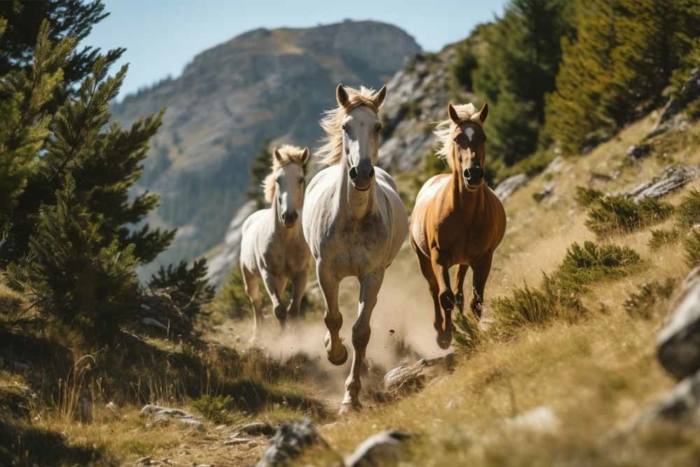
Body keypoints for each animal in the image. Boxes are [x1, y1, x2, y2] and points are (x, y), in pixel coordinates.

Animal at [241, 144, 312, 338]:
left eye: (301, 179)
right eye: (278, 179)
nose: (289, 216)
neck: (286, 241)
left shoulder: (301, 273)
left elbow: (293, 310)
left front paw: (293, 338)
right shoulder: (268, 274)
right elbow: (279, 309)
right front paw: (283, 339)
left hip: (282, 280)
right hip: (250, 277)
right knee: (256, 302)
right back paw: (256, 336)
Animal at [302, 84, 410, 414]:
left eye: (378, 127)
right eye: (346, 127)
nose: (361, 174)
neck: (353, 219)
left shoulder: (372, 275)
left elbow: (361, 331)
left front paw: (351, 397)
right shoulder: (325, 271)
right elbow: (333, 318)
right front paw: (335, 353)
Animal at [408, 103, 506, 352]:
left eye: (483, 137)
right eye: (457, 138)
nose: (473, 174)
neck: (464, 215)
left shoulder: (483, 259)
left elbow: (475, 300)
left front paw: (472, 333)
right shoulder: (438, 257)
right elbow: (445, 297)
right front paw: (445, 335)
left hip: (463, 261)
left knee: (459, 292)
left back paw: (464, 327)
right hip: (424, 260)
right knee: (435, 291)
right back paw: (441, 328)